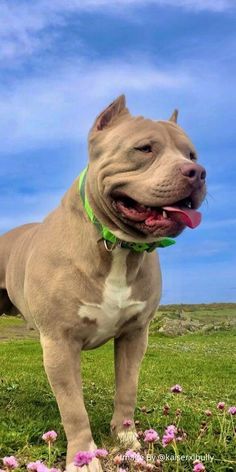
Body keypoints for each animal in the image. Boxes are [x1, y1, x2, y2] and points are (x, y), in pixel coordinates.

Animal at [0, 97, 206, 472]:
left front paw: (127, 440)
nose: (197, 173)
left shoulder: (135, 336)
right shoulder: (60, 343)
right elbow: (73, 409)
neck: (118, 246)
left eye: (192, 154)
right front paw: (83, 457)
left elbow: (127, 390)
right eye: (144, 148)